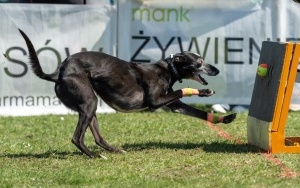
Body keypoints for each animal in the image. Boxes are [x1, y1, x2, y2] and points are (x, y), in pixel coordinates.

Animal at [18, 29, 237, 158]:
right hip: (88, 102)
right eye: (199, 63)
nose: (217, 70)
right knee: (76, 138)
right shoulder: (155, 102)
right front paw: (204, 91)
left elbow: (199, 112)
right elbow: (182, 91)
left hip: (90, 106)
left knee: (97, 137)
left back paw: (113, 150)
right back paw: (94, 155)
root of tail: (59, 72)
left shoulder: (174, 105)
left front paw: (224, 118)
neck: (168, 69)